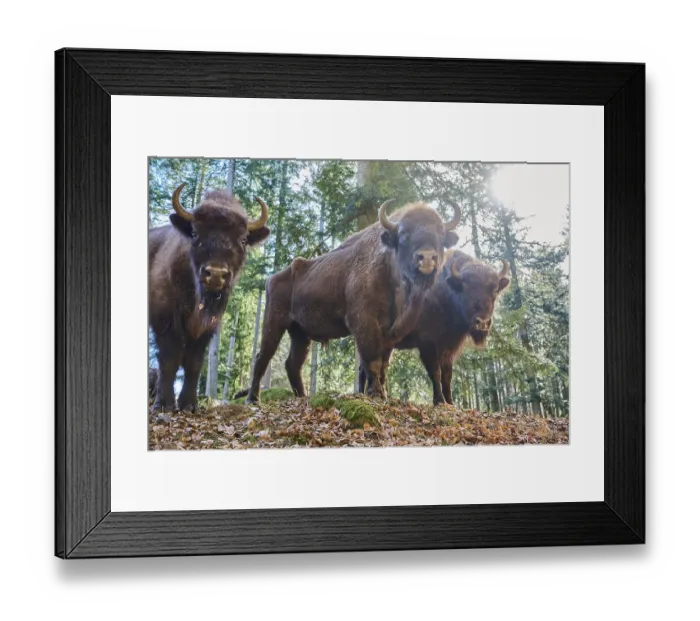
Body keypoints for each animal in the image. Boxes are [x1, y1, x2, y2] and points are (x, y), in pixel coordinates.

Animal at [149, 183, 270, 412]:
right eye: (195, 233)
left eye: (243, 239)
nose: (215, 274)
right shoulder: (165, 321)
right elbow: (170, 359)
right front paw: (164, 404)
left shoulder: (206, 329)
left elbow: (194, 362)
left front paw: (189, 405)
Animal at [245, 200, 461, 403]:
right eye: (404, 234)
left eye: (441, 234)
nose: (427, 258)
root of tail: (273, 278)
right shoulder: (364, 323)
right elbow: (372, 361)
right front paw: (376, 394)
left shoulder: (389, 332)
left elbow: (383, 365)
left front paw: (383, 393)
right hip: (274, 321)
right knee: (263, 356)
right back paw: (253, 399)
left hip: (300, 333)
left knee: (293, 364)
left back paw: (302, 396)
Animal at [359, 250, 511, 405]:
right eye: (465, 288)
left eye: (495, 290)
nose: (482, 322)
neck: (446, 292)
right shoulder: (428, 344)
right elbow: (435, 372)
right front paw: (439, 400)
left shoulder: (449, 348)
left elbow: (447, 376)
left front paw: (450, 402)